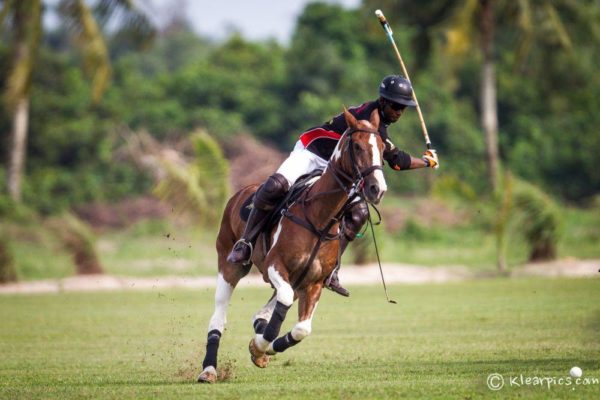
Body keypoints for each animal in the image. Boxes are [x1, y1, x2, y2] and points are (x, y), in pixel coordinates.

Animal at [197, 108, 384, 382]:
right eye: (358, 146)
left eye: (383, 147)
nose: (377, 188)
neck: (319, 218)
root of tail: (242, 191)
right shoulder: (275, 265)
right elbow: (282, 304)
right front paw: (260, 345)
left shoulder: (314, 282)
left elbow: (301, 329)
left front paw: (261, 348)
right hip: (230, 264)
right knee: (219, 316)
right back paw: (209, 370)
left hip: (297, 280)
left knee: (265, 312)